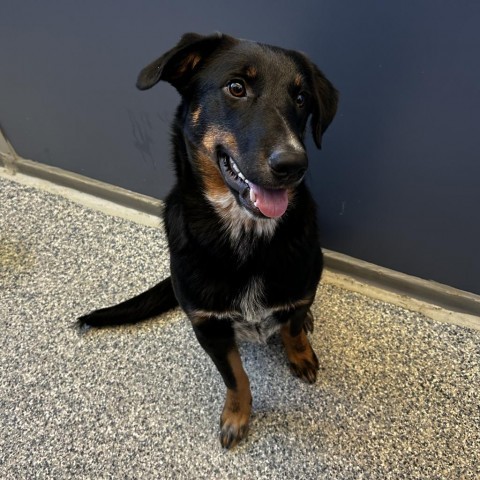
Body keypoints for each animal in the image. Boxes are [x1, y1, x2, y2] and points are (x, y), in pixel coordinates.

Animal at [78, 31, 338, 448]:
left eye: (301, 98)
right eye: (236, 87)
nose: (293, 165)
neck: (246, 235)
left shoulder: (298, 294)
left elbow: (294, 327)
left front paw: (300, 352)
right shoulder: (209, 329)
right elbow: (235, 377)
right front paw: (237, 415)